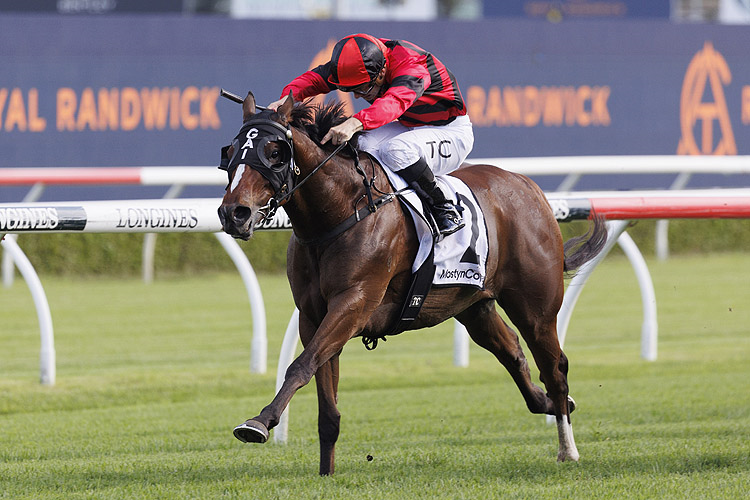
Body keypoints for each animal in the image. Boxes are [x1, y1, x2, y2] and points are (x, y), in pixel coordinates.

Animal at [219, 91, 612, 476]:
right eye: (231, 151)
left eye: (274, 153)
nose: (233, 213)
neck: (341, 211)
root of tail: (530, 187)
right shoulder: (313, 315)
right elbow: (323, 396)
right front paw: (325, 473)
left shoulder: (354, 304)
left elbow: (300, 365)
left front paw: (258, 422)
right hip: (475, 307)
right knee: (513, 353)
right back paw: (551, 403)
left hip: (536, 308)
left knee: (555, 368)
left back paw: (567, 449)